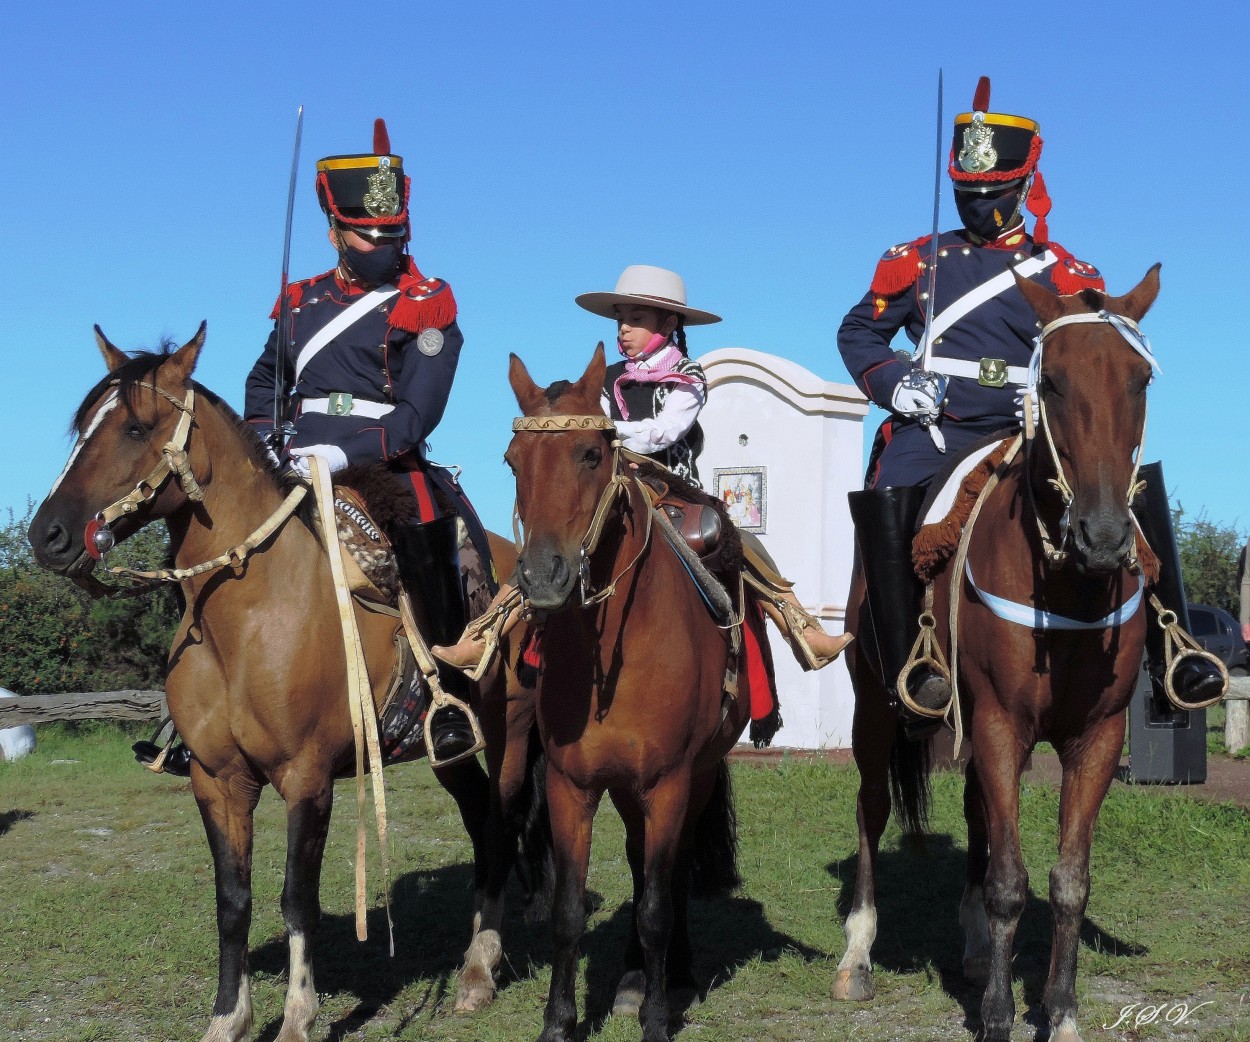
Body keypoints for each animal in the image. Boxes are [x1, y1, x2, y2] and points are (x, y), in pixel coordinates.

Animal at [26, 324, 545, 1039]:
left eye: (135, 426)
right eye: (83, 428)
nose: (46, 535)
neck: (246, 620)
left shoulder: (306, 777)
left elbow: (297, 898)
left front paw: (299, 1016)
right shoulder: (216, 781)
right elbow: (233, 900)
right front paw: (228, 1018)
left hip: (512, 732)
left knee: (500, 822)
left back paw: (477, 969)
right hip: (449, 748)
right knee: (479, 820)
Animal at [505, 347, 750, 1039]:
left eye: (592, 453)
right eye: (512, 460)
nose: (543, 577)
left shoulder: (667, 783)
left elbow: (660, 907)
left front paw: (658, 1020)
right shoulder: (571, 786)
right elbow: (567, 912)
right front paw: (559, 1022)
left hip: (693, 778)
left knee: (669, 874)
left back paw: (674, 975)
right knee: (642, 865)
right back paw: (635, 977)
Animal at [835, 267, 1165, 1039]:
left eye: (1140, 380)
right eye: (1054, 383)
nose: (1104, 536)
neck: (1069, 590)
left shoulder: (1096, 737)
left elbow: (1068, 882)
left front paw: (1061, 1013)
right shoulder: (998, 724)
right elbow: (1012, 883)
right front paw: (996, 1017)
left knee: (978, 817)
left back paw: (978, 949)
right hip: (876, 709)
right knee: (872, 808)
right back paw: (858, 954)